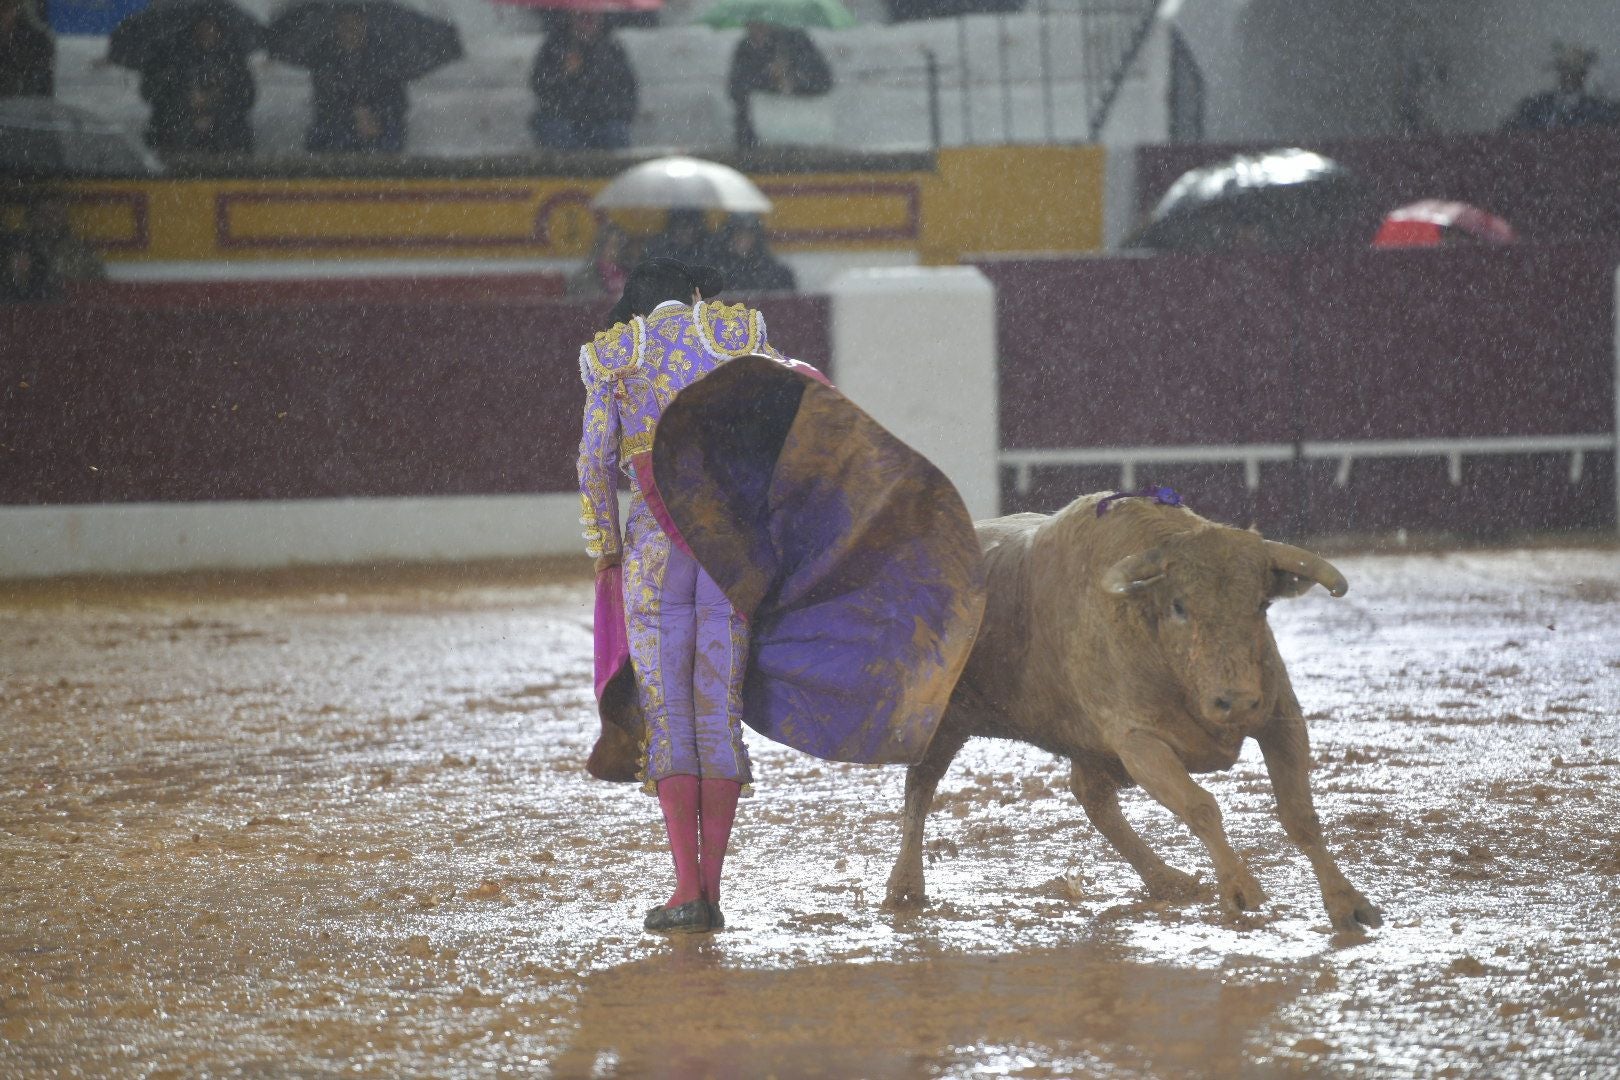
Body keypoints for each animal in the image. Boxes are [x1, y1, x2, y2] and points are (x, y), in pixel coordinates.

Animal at [887, 495, 1380, 932]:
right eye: (1179, 605)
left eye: (1261, 604)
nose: (1236, 701)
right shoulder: (1139, 742)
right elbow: (1201, 807)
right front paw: (1241, 889)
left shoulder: (1281, 718)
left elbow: (1300, 815)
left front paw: (1348, 904)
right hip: (942, 725)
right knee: (921, 788)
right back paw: (905, 889)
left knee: (1092, 798)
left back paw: (1165, 880)